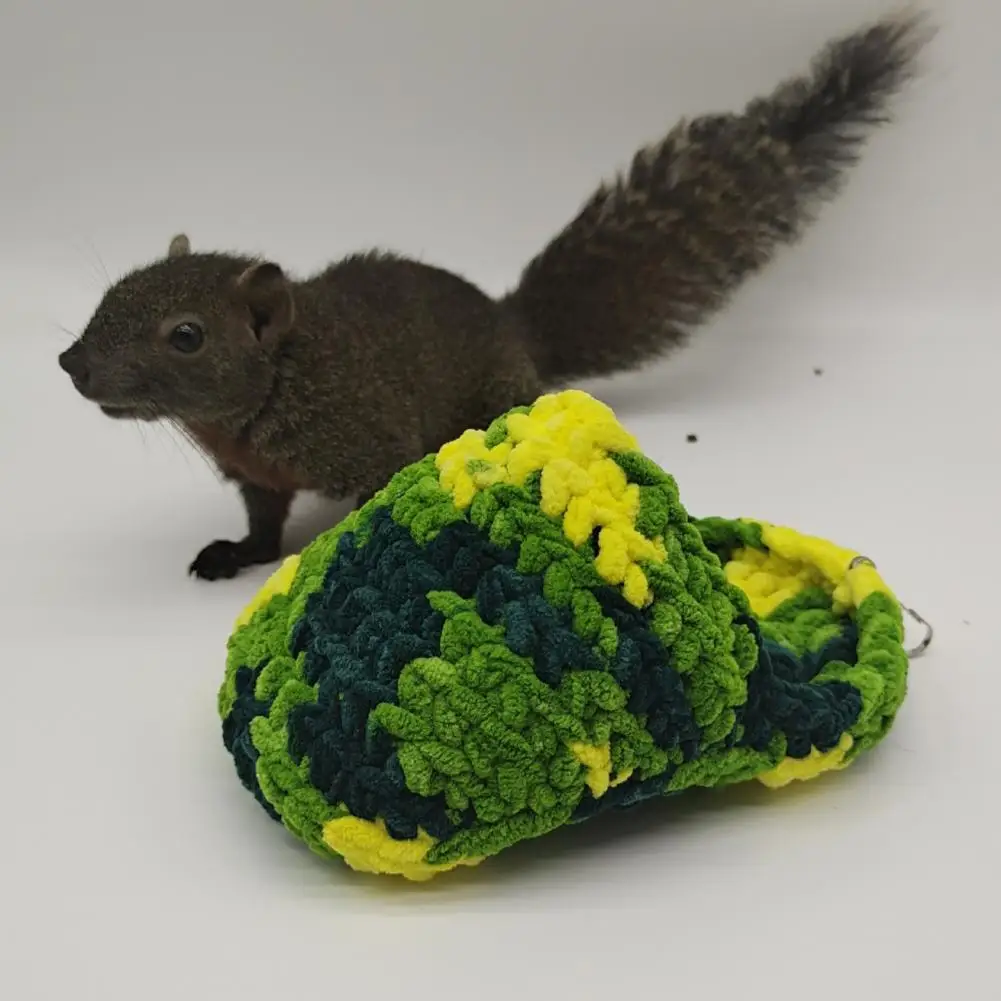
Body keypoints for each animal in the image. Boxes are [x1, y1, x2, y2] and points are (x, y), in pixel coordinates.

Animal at [58, 11, 930, 581]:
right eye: (114, 290)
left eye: (187, 335)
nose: (72, 363)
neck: (274, 387)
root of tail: (512, 326)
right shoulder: (256, 476)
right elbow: (262, 525)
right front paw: (236, 554)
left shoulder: (365, 435)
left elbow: (371, 495)